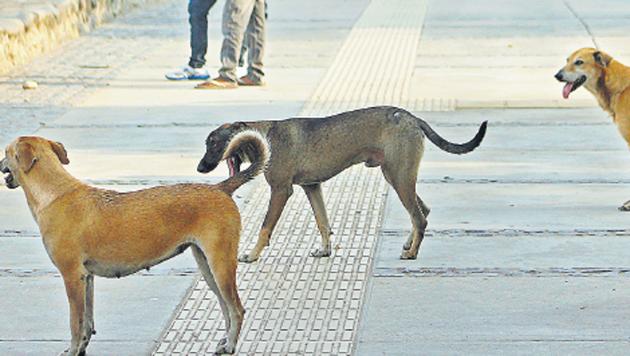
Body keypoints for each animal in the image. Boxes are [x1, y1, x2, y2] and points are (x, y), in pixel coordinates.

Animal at [0, 134, 270, 356]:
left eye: (5, 151)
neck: (54, 193)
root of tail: (220, 188)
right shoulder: (86, 278)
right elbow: (87, 322)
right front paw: (82, 347)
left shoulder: (71, 277)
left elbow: (75, 323)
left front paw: (73, 350)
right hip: (207, 267)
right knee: (226, 309)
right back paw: (225, 341)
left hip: (220, 265)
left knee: (236, 309)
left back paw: (231, 345)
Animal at [198, 105, 488, 262]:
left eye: (212, 143)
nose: (200, 168)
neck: (265, 136)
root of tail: (411, 118)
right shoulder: (312, 187)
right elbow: (323, 222)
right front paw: (326, 250)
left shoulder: (281, 191)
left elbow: (265, 228)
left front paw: (252, 255)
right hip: (398, 176)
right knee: (422, 212)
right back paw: (409, 244)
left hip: (398, 176)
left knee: (419, 217)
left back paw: (412, 253)